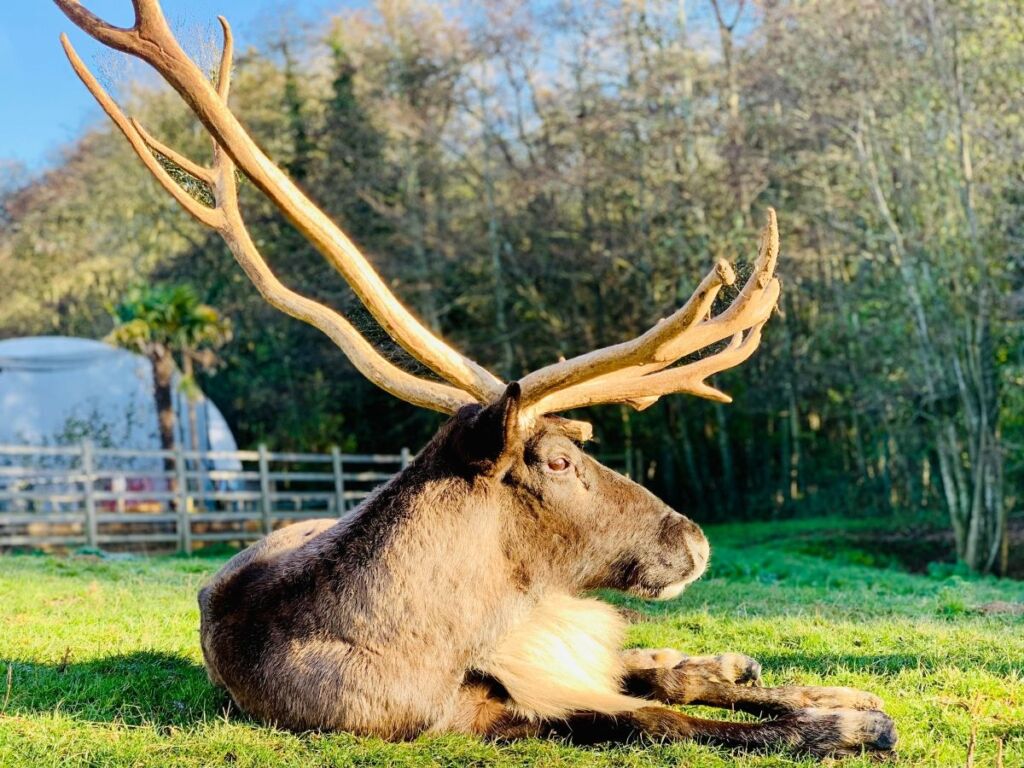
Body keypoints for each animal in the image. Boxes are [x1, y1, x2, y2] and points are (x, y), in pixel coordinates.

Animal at [55, 0, 896, 757]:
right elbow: (655, 720)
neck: (448, 642)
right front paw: (851, 723)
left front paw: (838, 700)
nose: (693, 538)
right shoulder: (481, 715)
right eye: (559, 461)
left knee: (655, 662)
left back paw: (742, 663)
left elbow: (675, 691)